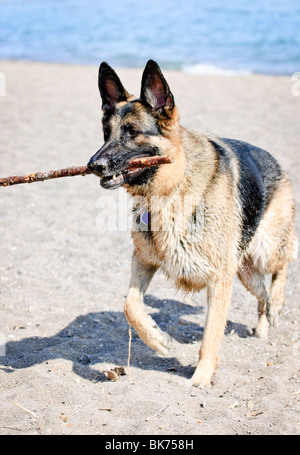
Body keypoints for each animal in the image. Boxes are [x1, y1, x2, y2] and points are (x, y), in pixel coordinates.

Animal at [87, 60, 298, 386]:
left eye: (132, 132)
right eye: (106, 133)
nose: (93, 166)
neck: (172, 189)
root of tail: (275, 161)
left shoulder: (219, 280)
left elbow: (211, 333)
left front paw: (201, 377)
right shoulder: (144, 259)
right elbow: (130, 305)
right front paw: (157, 339)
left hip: (264, 250)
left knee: (281, 267)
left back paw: (277, 303)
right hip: (245, 273)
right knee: (261, 294)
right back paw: (263, 325)